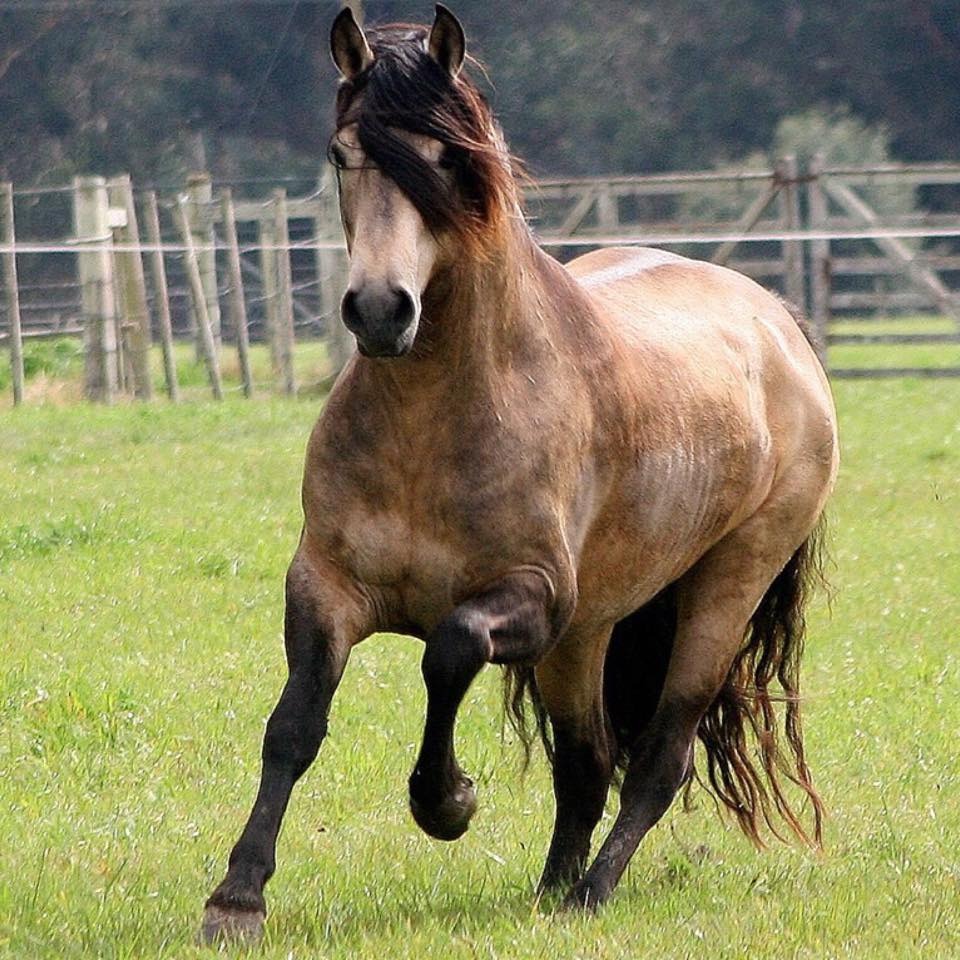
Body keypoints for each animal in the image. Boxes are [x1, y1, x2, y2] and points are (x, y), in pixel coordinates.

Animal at [199, 3, 836, 940]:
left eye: (445, 158)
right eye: (343, 154)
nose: (381, 310)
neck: (433, 429)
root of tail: (777, 319)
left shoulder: (532, 599)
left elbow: (450, 650)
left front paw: (448, 801)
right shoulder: (325, 585)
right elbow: (294, 726)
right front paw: (236, 898)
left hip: (724, 586)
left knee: (660, 756)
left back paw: (589, 893)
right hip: (593, 628)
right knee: (587, 760)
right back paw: (548, 890)